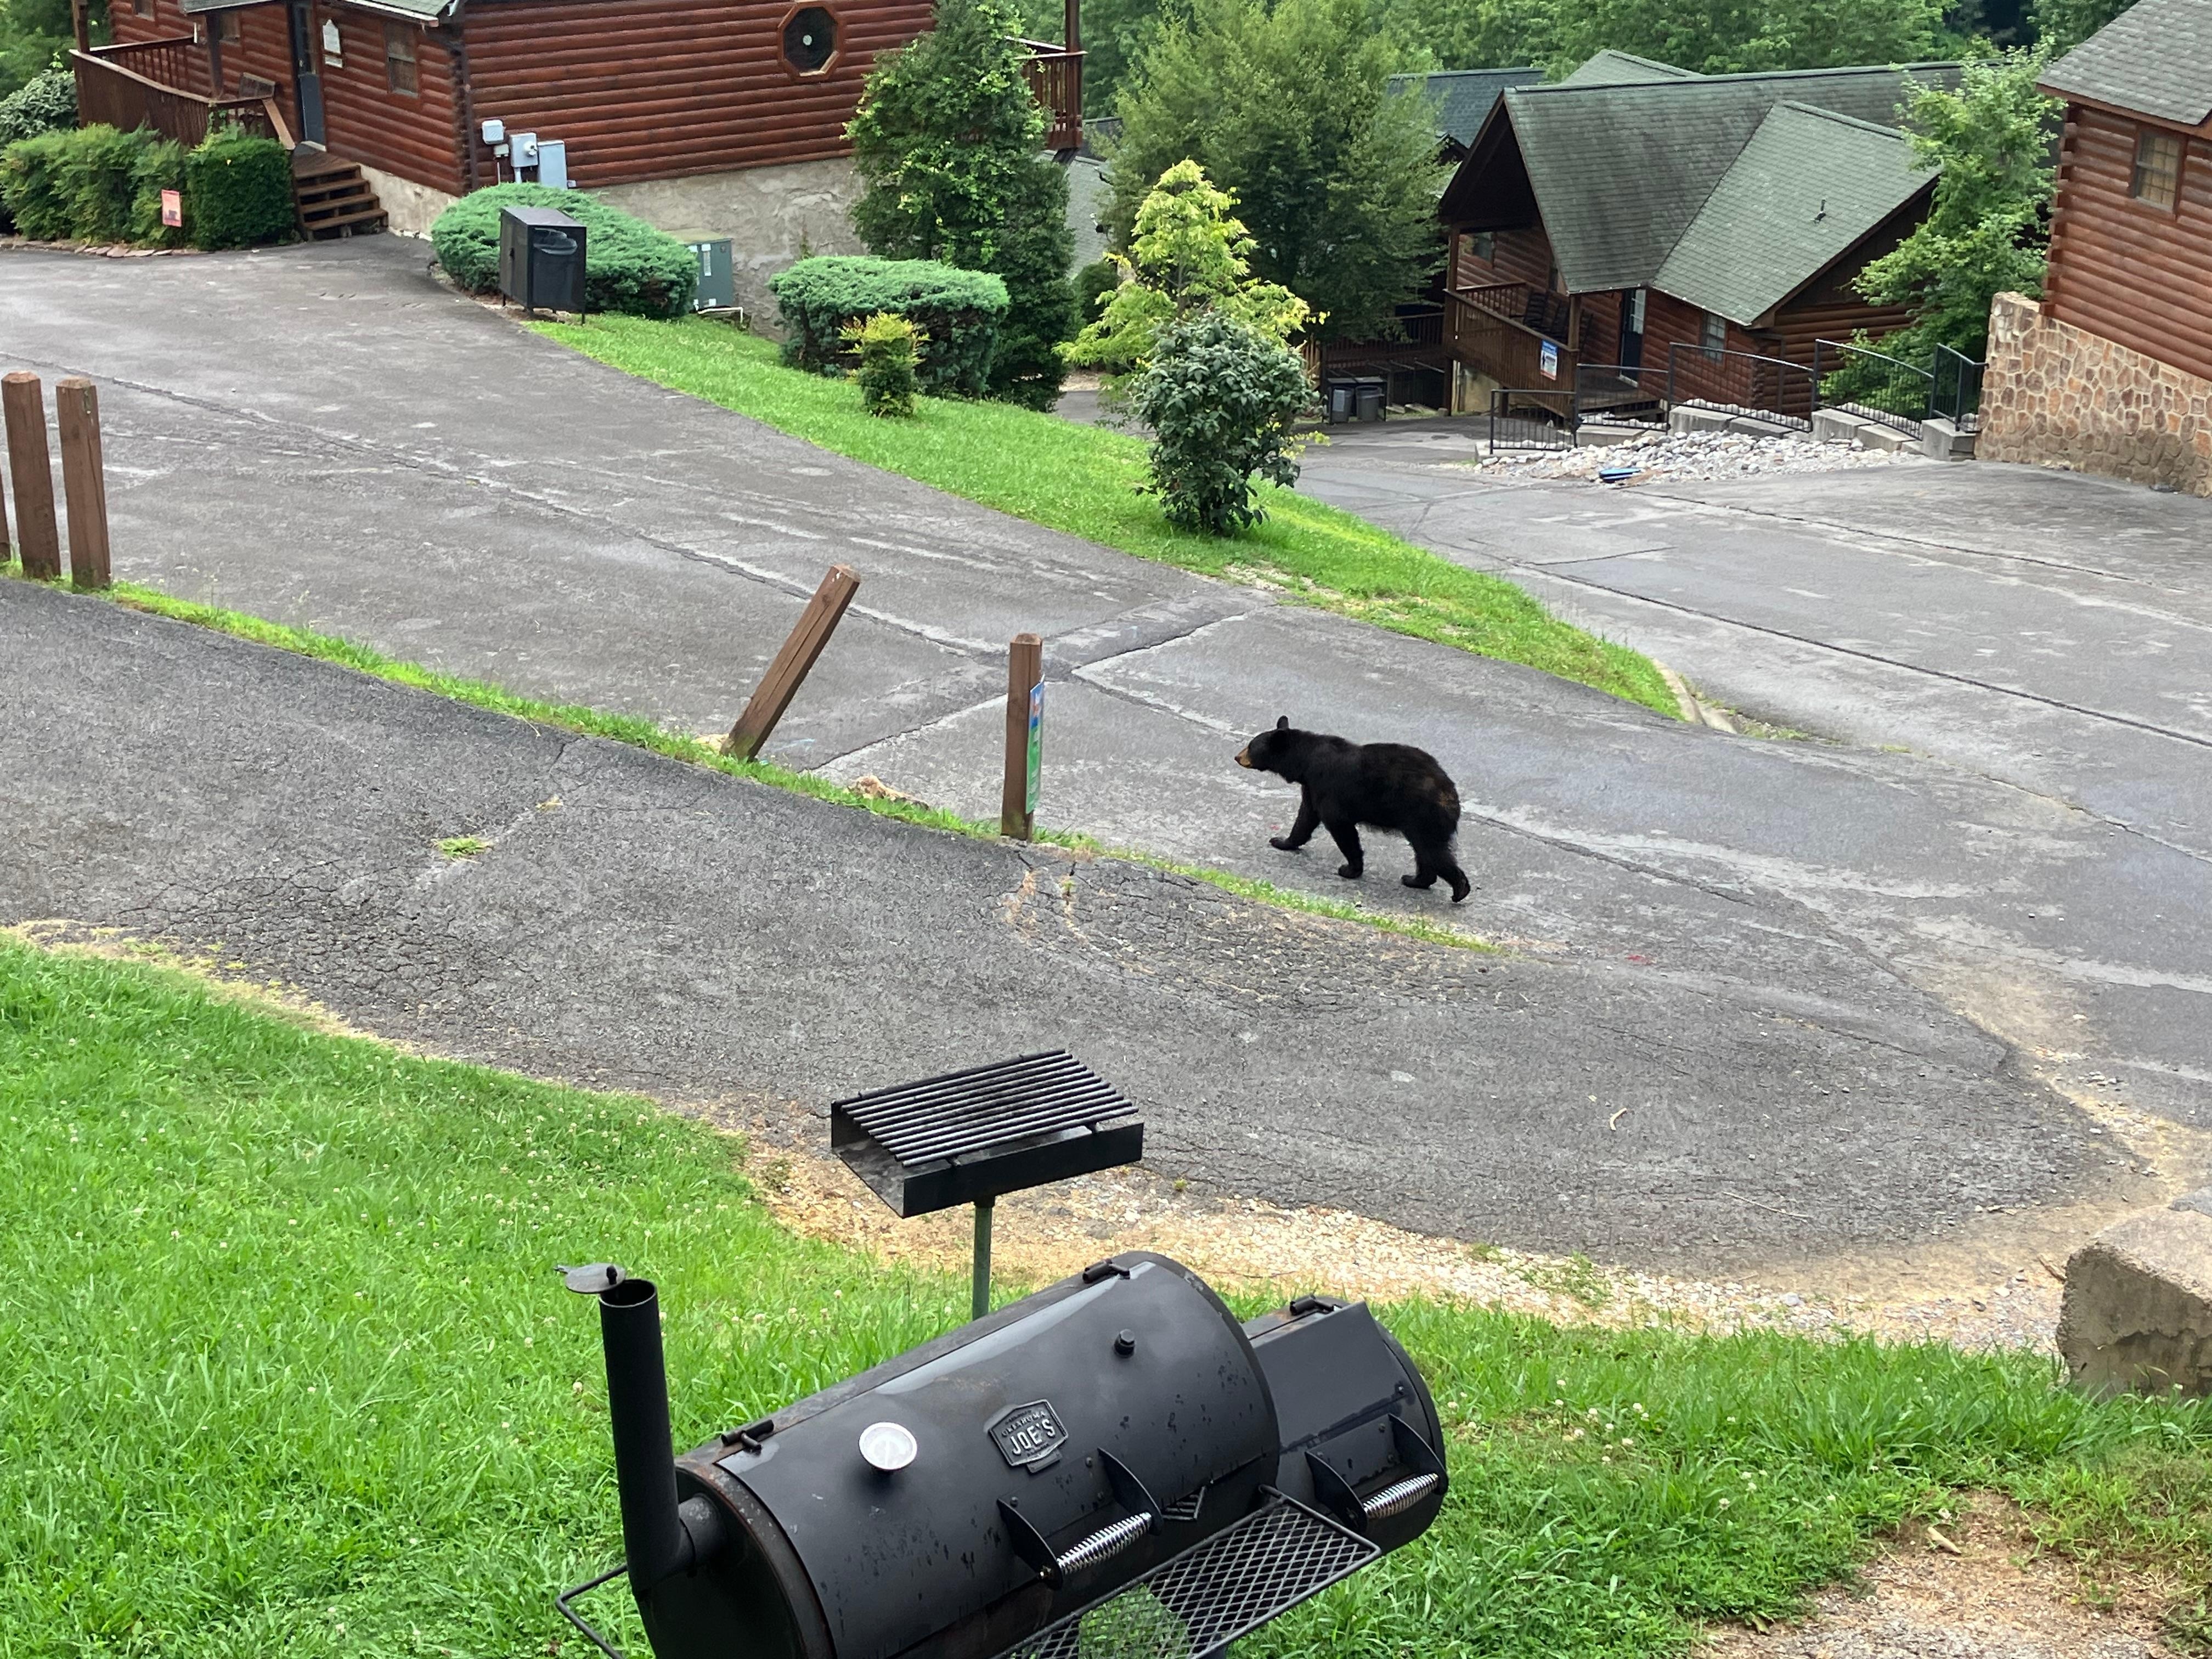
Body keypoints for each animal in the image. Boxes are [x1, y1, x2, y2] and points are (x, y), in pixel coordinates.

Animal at [1234, 716, 1471, 903]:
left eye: (1251, 745)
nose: (1237, 757)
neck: (1306, 760)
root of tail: (1451, 793)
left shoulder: (1327, 786)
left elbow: (1339, 824)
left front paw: (1350, 870)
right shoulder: (1312, 787)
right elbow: (1306, 817)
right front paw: (1282, 842)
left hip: (1422, 814)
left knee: (1432, 850)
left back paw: (1459, 888)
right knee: (1425, 852)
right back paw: (1416, 880)